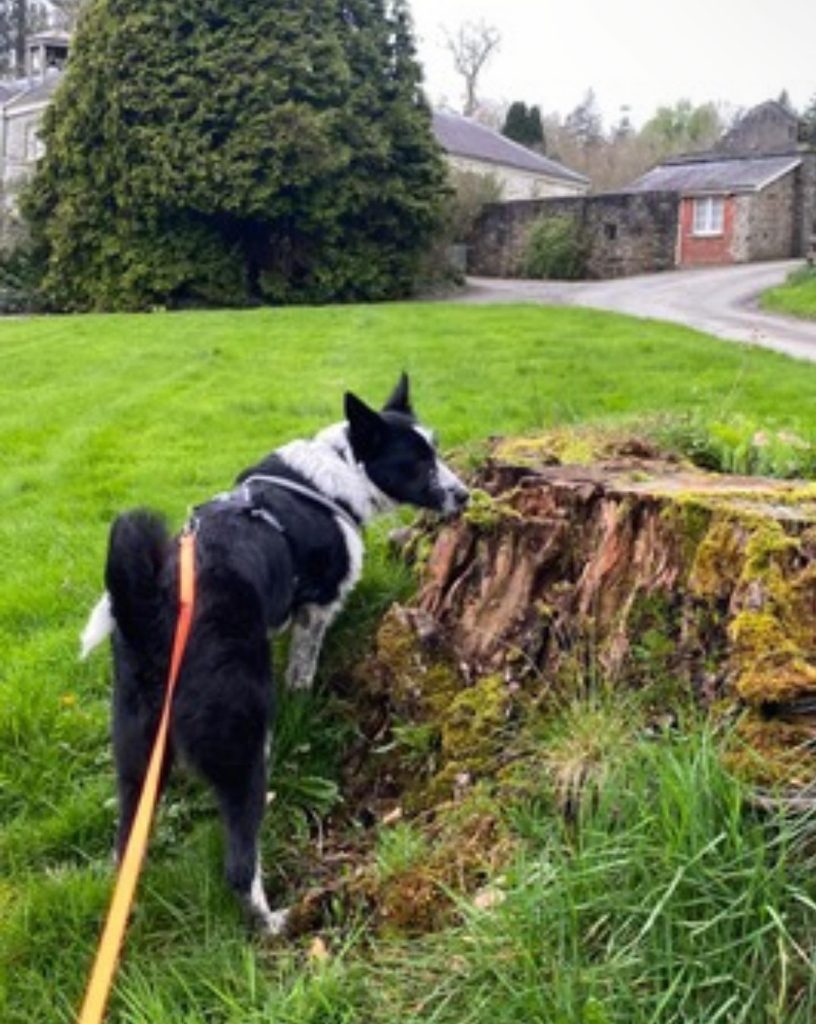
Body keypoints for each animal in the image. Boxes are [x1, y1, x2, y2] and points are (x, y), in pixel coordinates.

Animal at [81, 376, 468, 937]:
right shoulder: (317, 610)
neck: (336, 474)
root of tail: (154, 608)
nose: (466, 495)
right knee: (240, 864)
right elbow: (302, 674)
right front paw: (307, 703)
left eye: (436, 450)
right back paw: (274, 922)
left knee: (125, 846)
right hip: (242, 742)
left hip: (135, 748)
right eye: (417, 462)